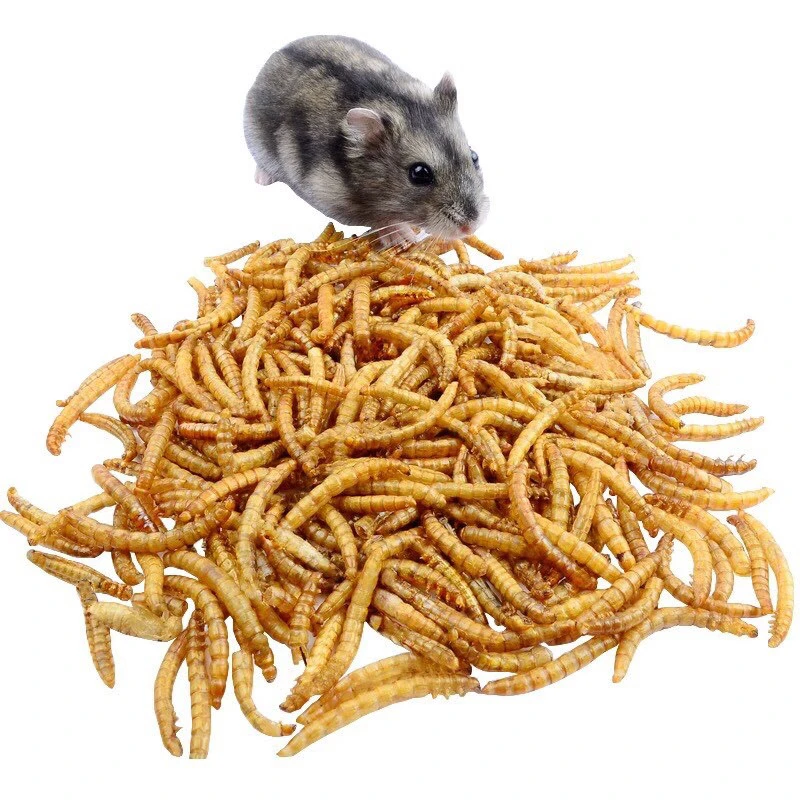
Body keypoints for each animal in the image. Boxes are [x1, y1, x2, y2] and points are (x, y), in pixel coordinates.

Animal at [244, 35, 488, 245]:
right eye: (419, 173)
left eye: (474, 157)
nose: (471, 227)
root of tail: (277, 53)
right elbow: (378, 218)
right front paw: (403, 237)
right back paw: (261, 178)